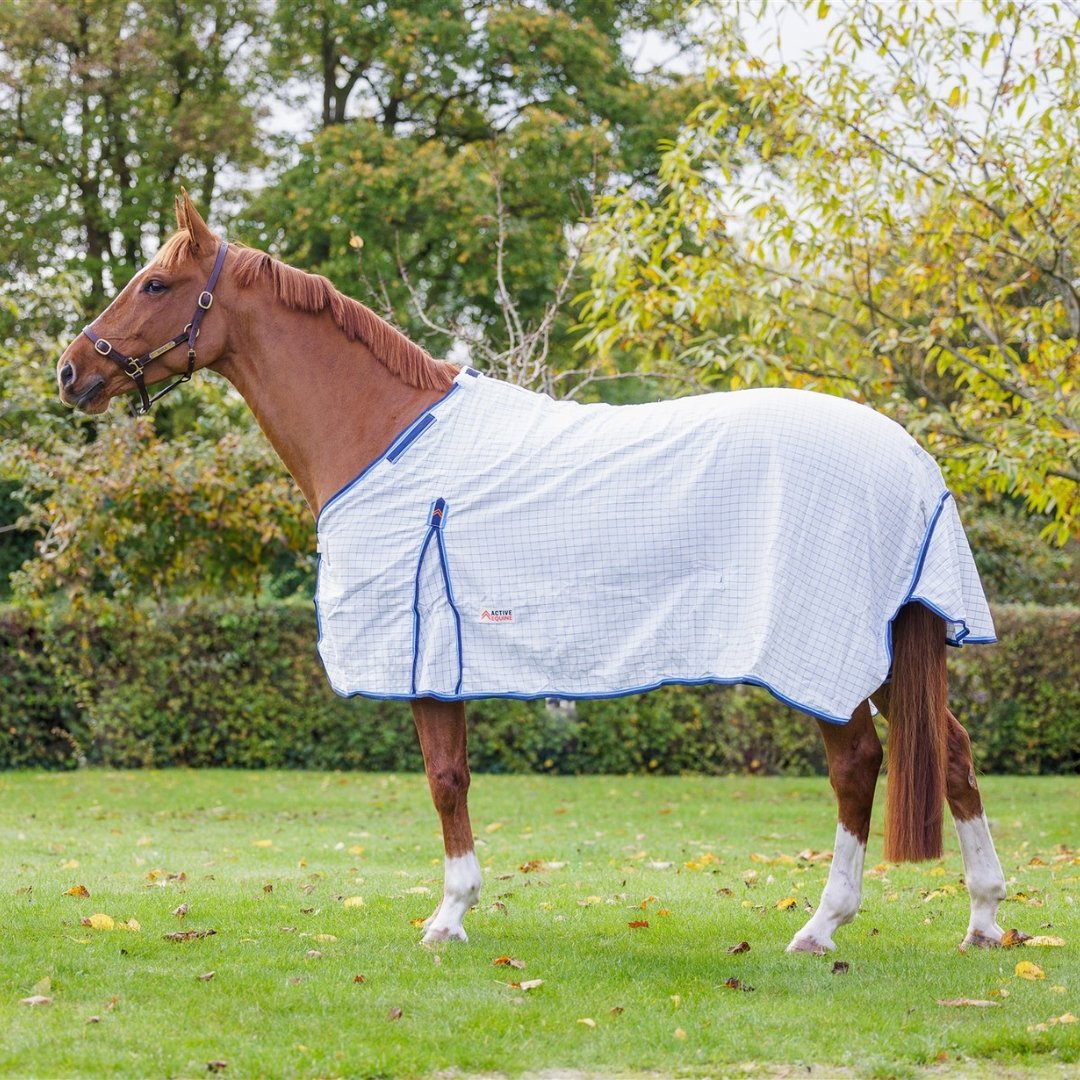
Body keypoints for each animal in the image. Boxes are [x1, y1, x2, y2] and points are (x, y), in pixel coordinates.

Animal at [56, 192, 1008, 953]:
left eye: (154, 285)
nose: (72, 370)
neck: (382, 433)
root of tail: (912, 461)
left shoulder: (424, 660)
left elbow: (445, 782)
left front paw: (448, 918)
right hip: (888, 650)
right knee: (954, 755)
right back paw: (985, 920)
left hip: (821, 652)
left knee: (858, 765)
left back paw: (822, 926)